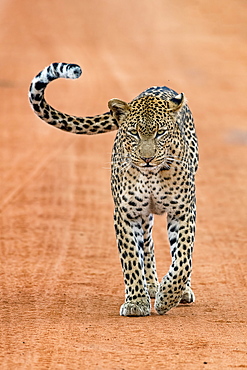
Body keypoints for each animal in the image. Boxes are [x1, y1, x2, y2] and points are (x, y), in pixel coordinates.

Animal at [29, 62, 199, 316]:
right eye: (133, 133)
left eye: (160, 133)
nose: (147, 159)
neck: (151, 175)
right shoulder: (126, 214)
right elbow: (131, 259)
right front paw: (136, 301)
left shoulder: (183, 210)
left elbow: (183, 257)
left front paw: (168, 296)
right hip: (144, 217)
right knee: (147, 245)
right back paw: (151, 285)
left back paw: (179, 291)